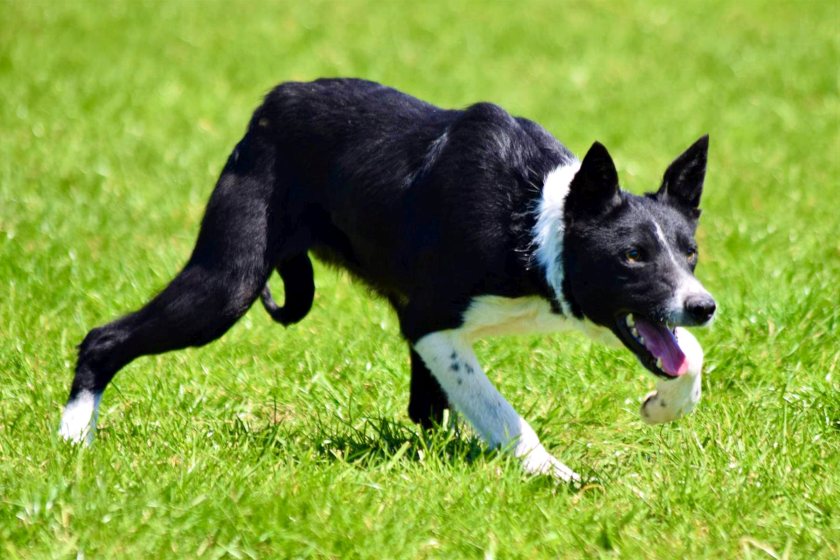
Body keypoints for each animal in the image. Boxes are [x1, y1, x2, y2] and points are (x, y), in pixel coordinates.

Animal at [59, 79, 716, 482]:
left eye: (690, 254)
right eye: (631, 256)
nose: (705, 305)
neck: (530, 221)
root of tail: (275, 101)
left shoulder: (583, 307)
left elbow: (692, 357)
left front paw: (662, 407)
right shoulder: (429, 324)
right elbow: (503, 413)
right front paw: (554, 476)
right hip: (226, 284)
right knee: (103, 339)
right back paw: (71, 442)